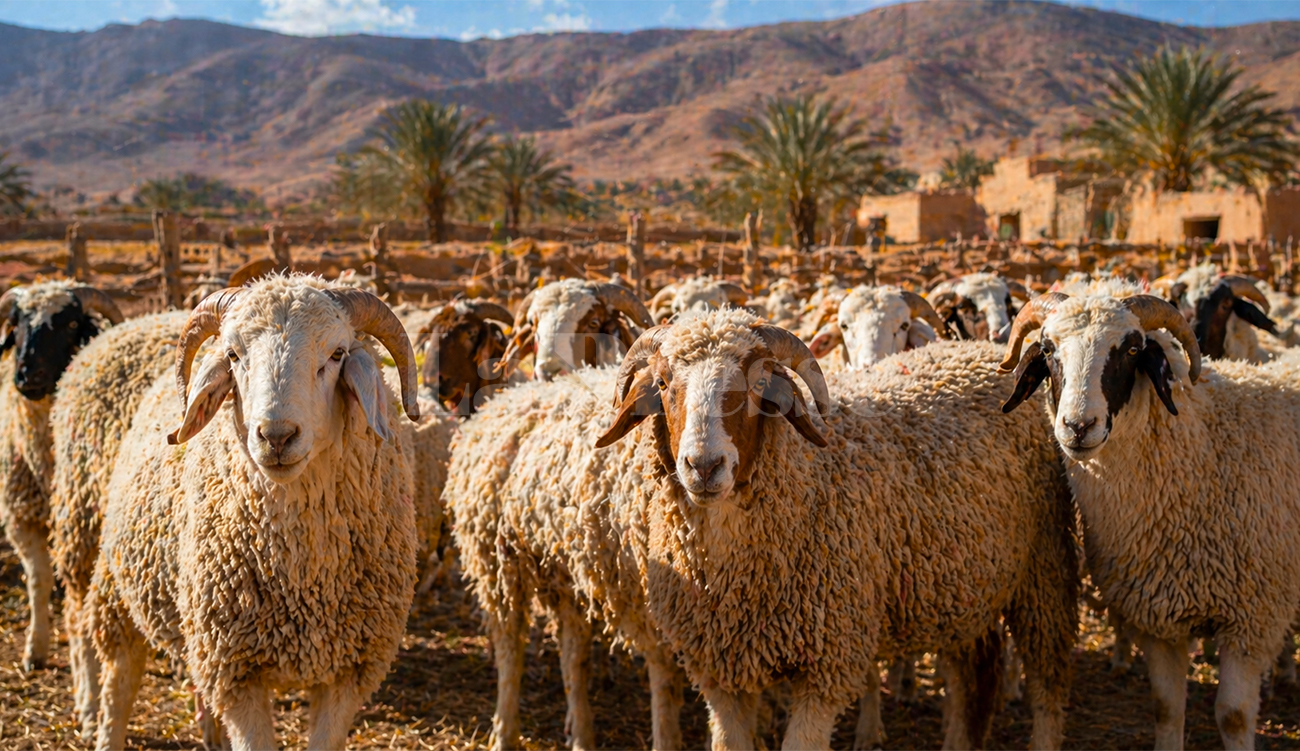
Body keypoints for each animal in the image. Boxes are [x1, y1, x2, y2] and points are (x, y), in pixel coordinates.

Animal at [0, 282, 122, 672]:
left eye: (70, 325)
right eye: (16, 324)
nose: (28, 376)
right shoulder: (22, 516)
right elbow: (37, 582)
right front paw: (34, 650)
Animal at [81, 275, 421, 751]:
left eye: (337, 354)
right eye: (232, 355)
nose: (276, 436)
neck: (303, 580)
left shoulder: (350, 671)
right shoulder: (234, 671)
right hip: (119, 584)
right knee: (120, 678)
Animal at [595, 308, 1079, 750]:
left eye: (757, 385)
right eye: (662, 385)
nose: (703, 466)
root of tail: (982, 353)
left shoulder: (828, 665)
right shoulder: (720, 673)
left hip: (1044, 566)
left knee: (1048, 682)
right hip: (968, 586)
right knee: (972, 672)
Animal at [998, 290, 1300, 749]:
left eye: (1132, 350)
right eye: (1048, 350)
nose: (1078, 426)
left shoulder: (1253, 619)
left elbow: (1232, 717)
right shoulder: (1158, 618)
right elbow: (1166, 708)